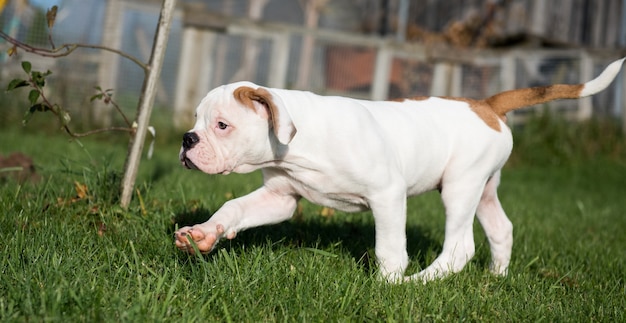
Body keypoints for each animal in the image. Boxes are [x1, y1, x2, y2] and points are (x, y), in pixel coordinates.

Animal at [173, 58, 620, 284]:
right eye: (195, 120)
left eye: (222, 125)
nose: (187, 139)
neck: (299, 142)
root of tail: (486, 104)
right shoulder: (279, 198)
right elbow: (233, 207)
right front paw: (203, 233)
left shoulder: (387, 194)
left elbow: (388, 247)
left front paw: (386, 283)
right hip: (484, 187)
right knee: (500, 229)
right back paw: (496, 277)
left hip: (460, 186)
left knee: (460, 247)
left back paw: (416, 283)